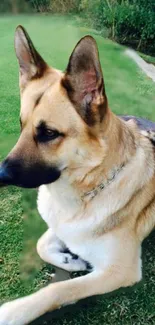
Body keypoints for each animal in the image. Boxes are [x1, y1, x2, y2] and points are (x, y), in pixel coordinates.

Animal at [0, 26, 155, 322]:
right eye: (22, 125)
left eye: (48, 133)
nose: (0, 175)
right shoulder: (63, 225)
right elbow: (41, 244)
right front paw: (69, 260)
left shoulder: (120, 270)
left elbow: (59, 290)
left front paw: (14, 311)